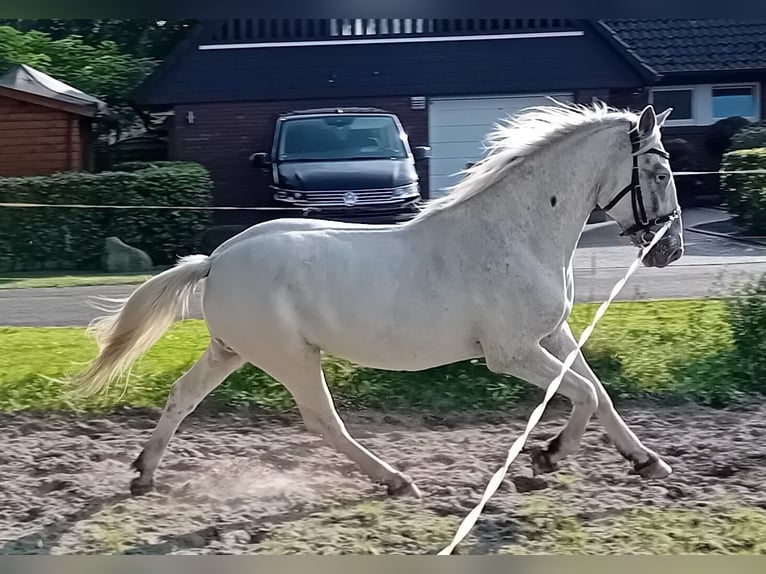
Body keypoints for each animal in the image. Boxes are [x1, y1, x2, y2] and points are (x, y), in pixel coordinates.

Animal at [72, 103, 684, 500]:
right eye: (657, 171)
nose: (669, 249)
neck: (513, 233)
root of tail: (217, 260)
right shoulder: (510, 352)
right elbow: (583, 392)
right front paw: (547, 457)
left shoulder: (552, 334)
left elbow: (599, 393)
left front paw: (648, 462)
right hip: (290, 357)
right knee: (323, 420)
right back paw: (396, 480)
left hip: (231, 350)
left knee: (182, 397)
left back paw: (143, 475)